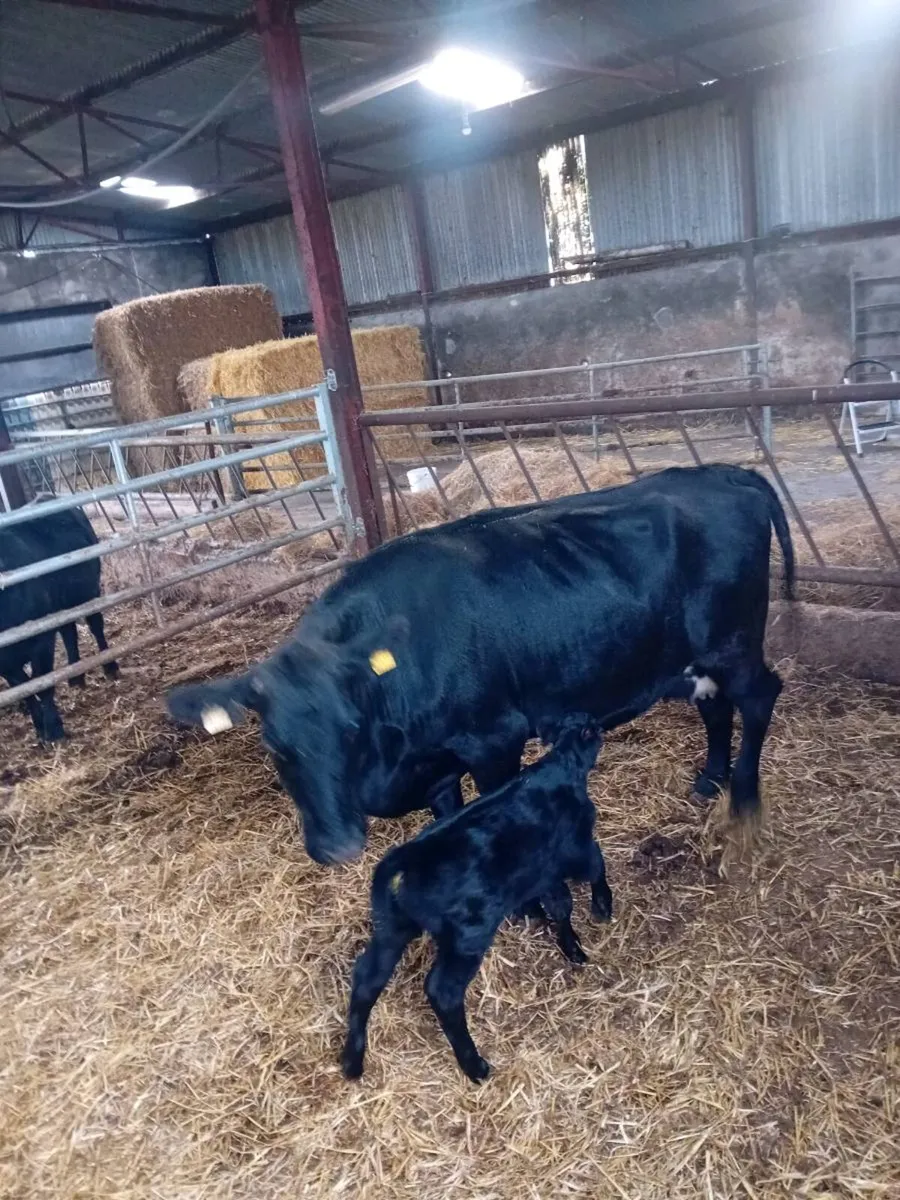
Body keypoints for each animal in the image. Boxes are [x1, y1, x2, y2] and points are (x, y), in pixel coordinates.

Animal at [1, 504, 118, 742]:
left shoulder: (42, 641)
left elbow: (43, 684)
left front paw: (54, 729)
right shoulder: (4, 663)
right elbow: (25, 689)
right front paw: (39, 726)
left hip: (88, 593)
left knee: (96, 627)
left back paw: (110, 666)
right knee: (69, 632)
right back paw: (75, 677)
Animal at [166, 464, 794, 865]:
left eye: (350, 729)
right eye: (273, 745)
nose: (338, 847)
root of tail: (724, 472)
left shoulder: (496, 740)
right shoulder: (438, 766)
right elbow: (445, 819)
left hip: (734, 643)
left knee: (760, 696)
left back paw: (744, 801)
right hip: (692, 658)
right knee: (714, 705)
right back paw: (710, 779)